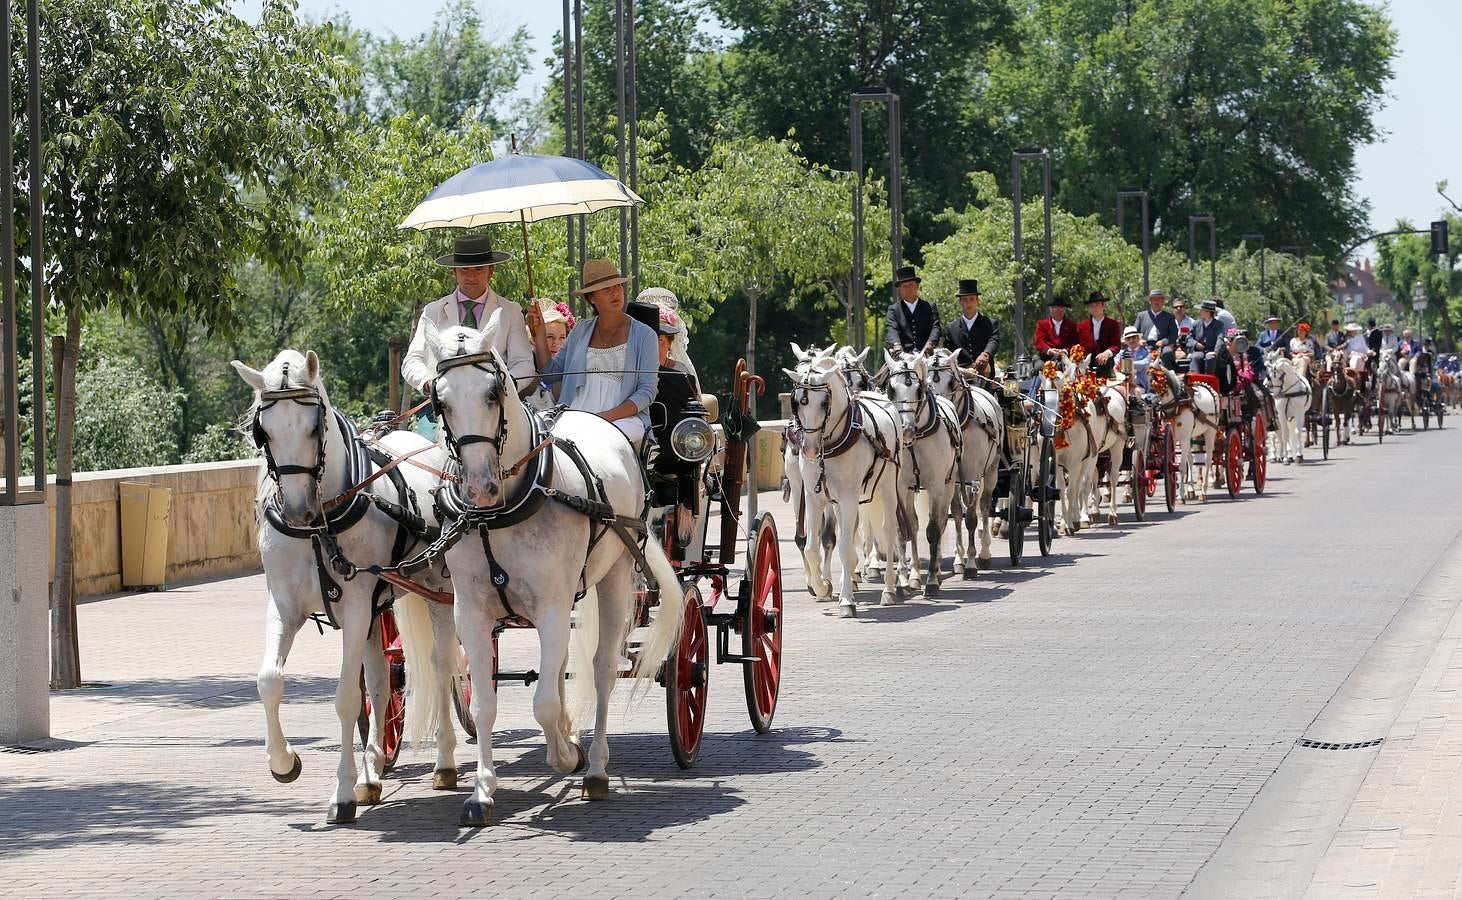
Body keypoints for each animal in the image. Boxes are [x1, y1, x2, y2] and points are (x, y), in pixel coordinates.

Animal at [230, 349, 456, 824]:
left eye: (315, 427)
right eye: (263, 432)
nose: (297, 510)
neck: (320, 525)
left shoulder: (354, 606)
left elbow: (346, 698)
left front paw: (342, 793)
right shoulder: (285, 606)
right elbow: (269, 681)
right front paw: (284, 762)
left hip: (437, 588)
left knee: (444, 665)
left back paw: (445, 764)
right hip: (377, 611)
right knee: (382, 680)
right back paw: (372, 772)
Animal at [421, 327, 681, 824]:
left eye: (493, 391)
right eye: (439, 401)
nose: (479, 487)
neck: (500, 514)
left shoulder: (552, 607)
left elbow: (542, 702)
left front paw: (564, 755)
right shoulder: (472, 613)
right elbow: (485, 704)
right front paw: (481, 791)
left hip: (614, 575)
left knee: (601, 669)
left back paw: (594, 767)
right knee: (560, 668)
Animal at [789, 347, 900, 616]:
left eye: (824, 402)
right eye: (796, 400)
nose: (808, 449)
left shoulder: (850, 497)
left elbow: (843, 545)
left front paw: (847, 600)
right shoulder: (813, 496)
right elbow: (812, 547)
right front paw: (822, 586)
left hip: (887, 487)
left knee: (888, 530)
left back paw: (890, 589)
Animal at [877, 352, 959, 599]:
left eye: (918, 389)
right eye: (891, 389)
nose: (905, 430)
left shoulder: (936, 485)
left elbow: (933, 530)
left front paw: (931, 580)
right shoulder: (900, 486)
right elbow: (902, 530)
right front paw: (905, 579)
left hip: (949, 484)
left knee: (941, 521)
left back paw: (938, 571)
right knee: (913, 525)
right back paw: (914, 575)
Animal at [923, 347, 1005, 572]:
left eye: (952, 382)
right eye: (925, 380)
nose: (941, 407)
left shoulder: (973, 476)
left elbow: (971, 518)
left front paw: (971, 562)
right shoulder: (951, 476)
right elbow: (956, 514)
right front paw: (959, 558)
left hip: (991, 470)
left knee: (984, 506)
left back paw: (984, 552)